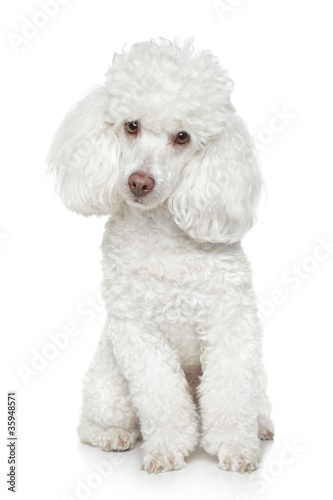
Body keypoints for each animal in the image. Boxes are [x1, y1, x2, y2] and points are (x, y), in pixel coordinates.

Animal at [48, 38, 274, 472]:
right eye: (131, 125)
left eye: (182, 136)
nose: (139, 182)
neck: (162, 235)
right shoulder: (137, 330)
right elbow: (162, 397)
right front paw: (167, 449)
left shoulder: (230, 321)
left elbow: (231, 392)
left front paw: (237, 447)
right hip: (109, 382)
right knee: (91, 423)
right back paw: (113, 436)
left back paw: (261, 425)